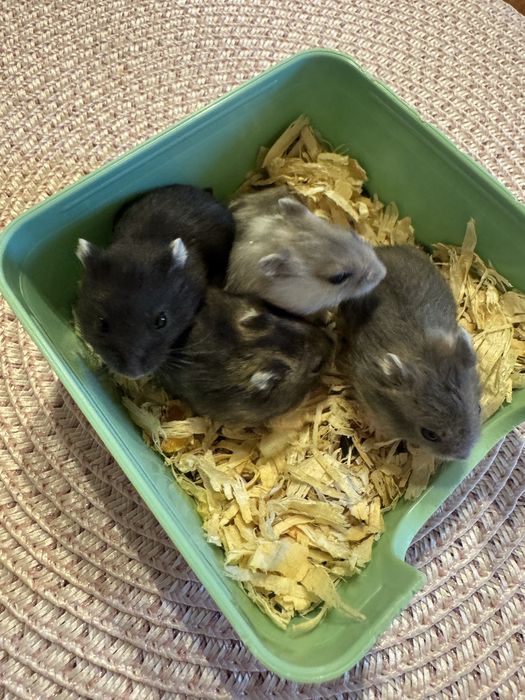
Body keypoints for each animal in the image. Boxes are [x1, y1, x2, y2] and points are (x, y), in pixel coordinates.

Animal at [339, 244, 481, 461]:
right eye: (429, 434)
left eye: (479, 409)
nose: (464, 457)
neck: (421, 354)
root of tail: (378, 250)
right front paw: (377, 431)